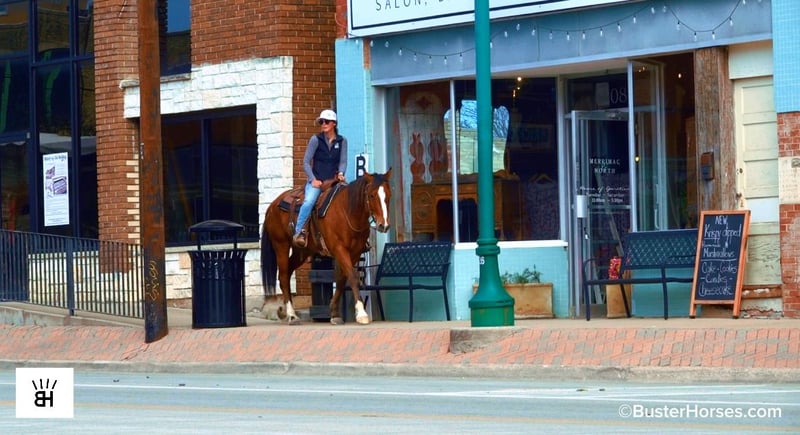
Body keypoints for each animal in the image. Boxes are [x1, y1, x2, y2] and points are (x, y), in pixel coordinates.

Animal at [260, 169, 392, 325]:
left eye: (388, 195)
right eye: (372, 195)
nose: (383, 225)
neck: (347, 212)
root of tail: (272, 206)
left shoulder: (355, 252)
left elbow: (341, 279)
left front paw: (334, 313)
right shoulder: (339, 249)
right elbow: (353, 277)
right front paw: (361, 313)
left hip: (301, 252)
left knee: (287, 273)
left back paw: (289, 312)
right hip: (281, 246)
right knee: (283, 275)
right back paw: (291, 315)